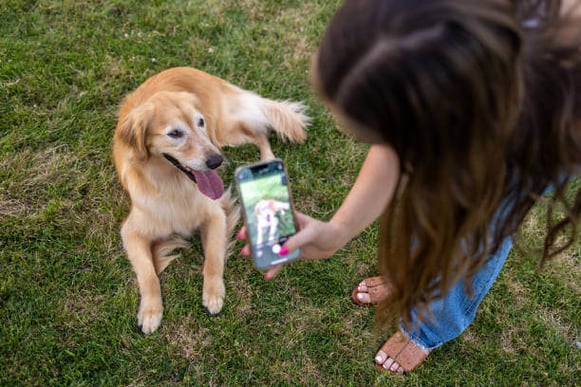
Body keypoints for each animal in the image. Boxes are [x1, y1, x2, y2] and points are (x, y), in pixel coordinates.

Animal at [110, 66, 306, 334]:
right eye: (174, 133)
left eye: (199, 122)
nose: (217, 161)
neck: (175, 185)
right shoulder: (132, 232)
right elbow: (148, 274)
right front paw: (150, 311)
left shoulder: (215, 215)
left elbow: (213, 257)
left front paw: (213, 293)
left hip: (222, 131)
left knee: (259, 131)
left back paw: (267, 161)